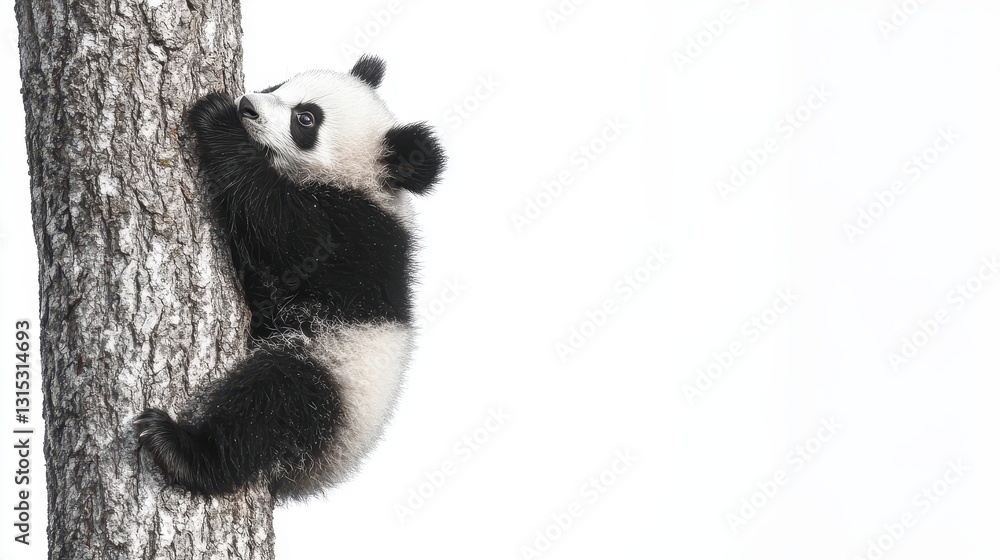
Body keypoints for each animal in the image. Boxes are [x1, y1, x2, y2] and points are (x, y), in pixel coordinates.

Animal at [135, 55, 444, 500]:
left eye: (306, 120)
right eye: (279, 85)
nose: (247, 105)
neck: (363, 182)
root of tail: (317, 475)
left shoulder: (355, 233)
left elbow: (287, 233)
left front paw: (218, 121)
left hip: (334, 376)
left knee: (273, 402)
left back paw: (184, 451)